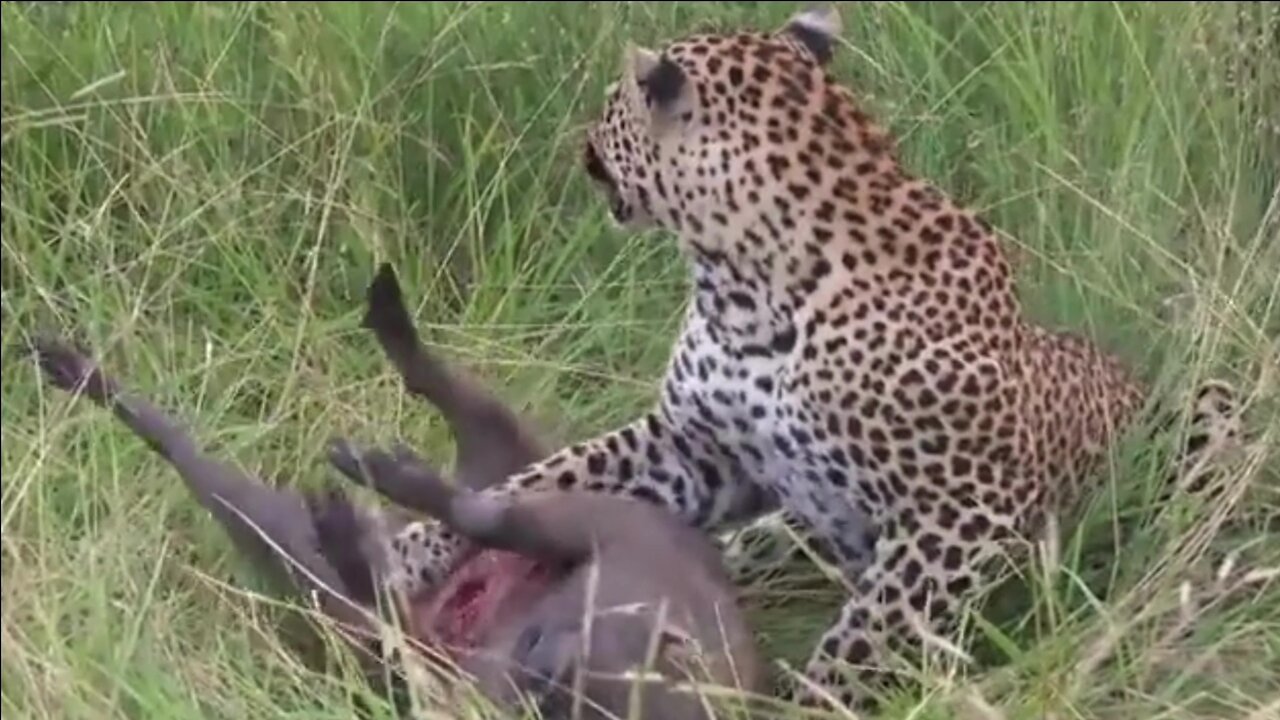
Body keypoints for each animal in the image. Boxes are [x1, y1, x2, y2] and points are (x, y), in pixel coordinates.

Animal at [375, 6, 1248, 710]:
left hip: (1212, 406)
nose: (582, 145)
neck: (743, 291)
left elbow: (872, 631)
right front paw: (417, 549)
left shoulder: (961, 511)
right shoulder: (696, 452)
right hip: (779, 530)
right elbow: (552, 477)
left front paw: (812, 701)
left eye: (615, 109)